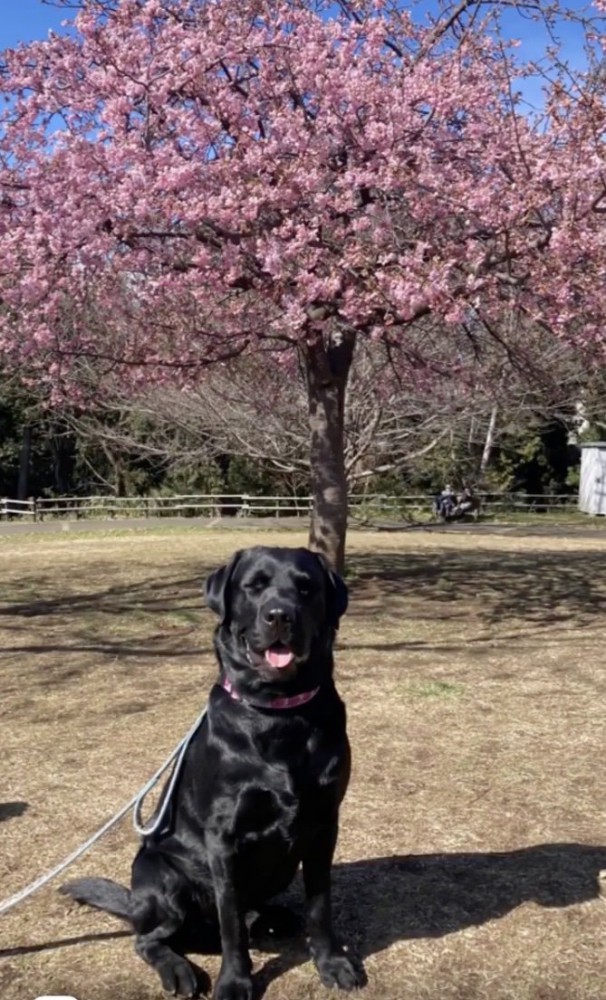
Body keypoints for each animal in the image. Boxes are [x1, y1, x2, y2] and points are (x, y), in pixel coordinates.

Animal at [61, 548, 366, 1000]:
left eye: (306, 588)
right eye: (254, 586)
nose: (280, 614)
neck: (279, 715)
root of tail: (133, 902)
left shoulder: (325, 823)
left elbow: (319, 904)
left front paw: (332, 962)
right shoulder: (224, 839)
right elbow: (231, 924)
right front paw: (235, 982)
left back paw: (272, 919)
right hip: (163, 877)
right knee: (151, 939)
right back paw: (178, 969)